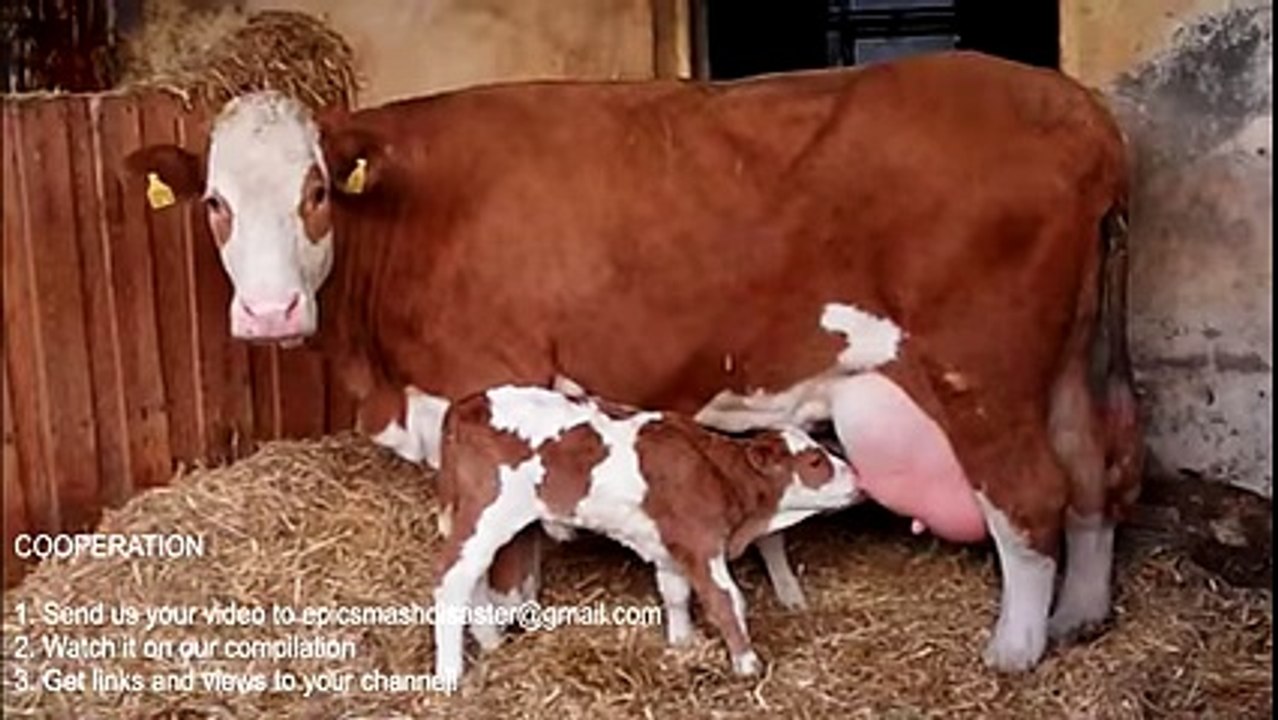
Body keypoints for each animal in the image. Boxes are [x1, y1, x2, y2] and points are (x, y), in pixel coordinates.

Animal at [430, 384, 861, 682]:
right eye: (815, 461)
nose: (859, 478)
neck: (716, 473)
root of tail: (466, 404)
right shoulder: (702, 543)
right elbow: (726, 599)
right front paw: (747, 664)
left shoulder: (671, 546)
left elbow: (676, 594)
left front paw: (682, 644)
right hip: (487, 514)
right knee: (452, 582)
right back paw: (451, 674)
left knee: (473, 581)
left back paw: (491, 644)